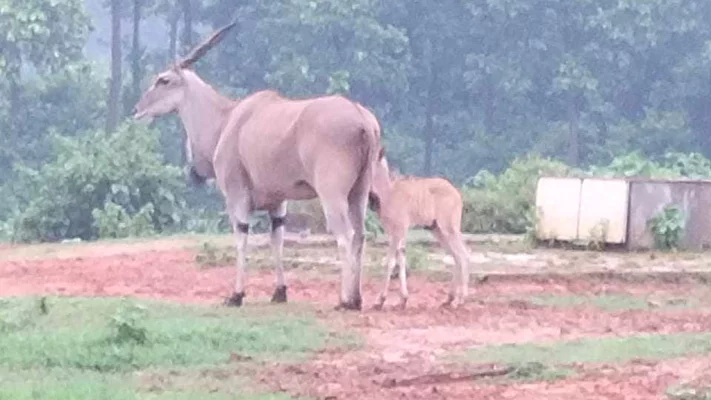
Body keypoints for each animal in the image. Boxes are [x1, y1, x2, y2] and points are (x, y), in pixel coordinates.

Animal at [131, 20, 382, 310]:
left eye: (164, 80)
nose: (136, 110)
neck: (226, 120)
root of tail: (361, 119)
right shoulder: (278, 202)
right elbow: (277, 239)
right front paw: (280, 292)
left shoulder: (236, 195)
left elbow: (241, 237)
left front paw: (236, 295)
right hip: (359, 192)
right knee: (361, 235)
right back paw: (358, 298)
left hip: (332, 193)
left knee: (345, 236)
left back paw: (345, 300)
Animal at [368, 150, 472, 310]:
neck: (388, 193)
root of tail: (457, 194)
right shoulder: (393, 231)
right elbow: (401, 258)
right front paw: (403, 299)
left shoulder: (399, 229)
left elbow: (390, 261)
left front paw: (380, 300)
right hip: (437, 229)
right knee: (456, 255)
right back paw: (449, 298)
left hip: (449, 227)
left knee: (463, 254)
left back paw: (460, 299)